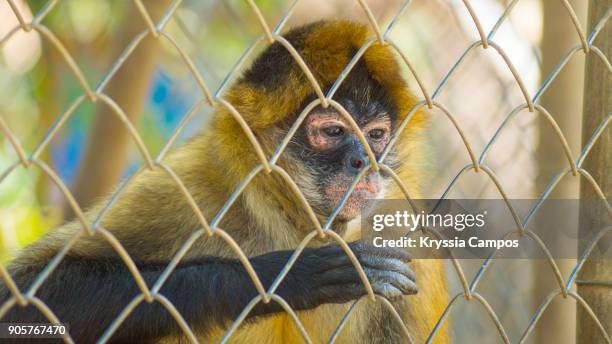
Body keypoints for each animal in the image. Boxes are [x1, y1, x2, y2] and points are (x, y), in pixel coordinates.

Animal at [1, 20, 450, 342]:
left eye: (376, 135)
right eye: (333, 131)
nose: (364, 162)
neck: (302, 226)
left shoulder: (409, 241)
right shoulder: (198, 178)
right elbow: (20, 294)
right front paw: (288, 274)